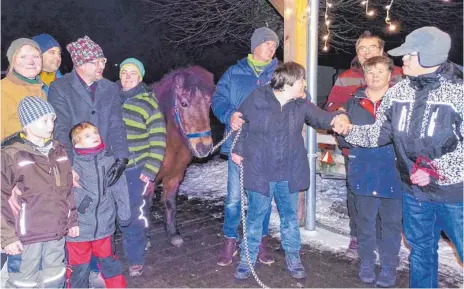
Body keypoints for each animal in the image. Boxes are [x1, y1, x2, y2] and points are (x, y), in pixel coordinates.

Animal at [154, 65, 216, 245]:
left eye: (209, 102)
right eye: (184, 103)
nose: (204, 147)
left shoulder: (175, 176)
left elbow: (170, 204)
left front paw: (173, 234)